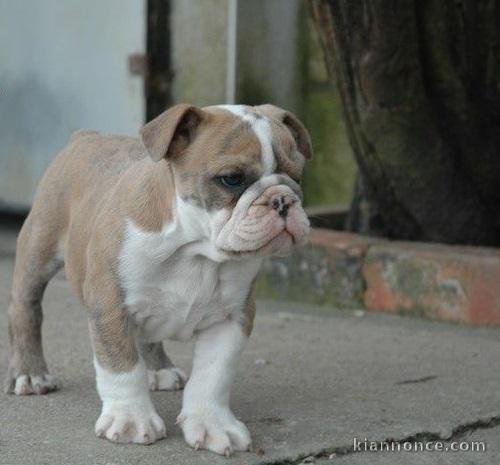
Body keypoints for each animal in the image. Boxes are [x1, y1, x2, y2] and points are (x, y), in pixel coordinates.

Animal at [4, 103, 312, 454]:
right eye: (232, 179)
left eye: (298, 177)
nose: (282, 200)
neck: (195, 249)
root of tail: (85, 137)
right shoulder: (110, 307)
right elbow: (122, 367)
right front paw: (130, 419)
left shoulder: (232, 318)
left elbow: (213, 375)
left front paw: (212, 423)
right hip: (38, 248)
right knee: (25, 308)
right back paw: (30, 374)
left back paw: (159, 370)